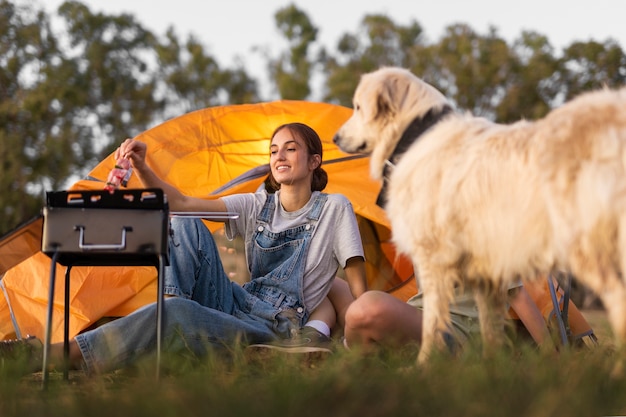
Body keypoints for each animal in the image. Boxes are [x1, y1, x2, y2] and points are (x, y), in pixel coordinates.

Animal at [334, 66, 624, 362]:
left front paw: (425, 365)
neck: (416, 136)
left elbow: (433, 325)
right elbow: (490, 332)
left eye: (358, 107)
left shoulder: (434, 258)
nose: (335, 138)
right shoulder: (487, 269)